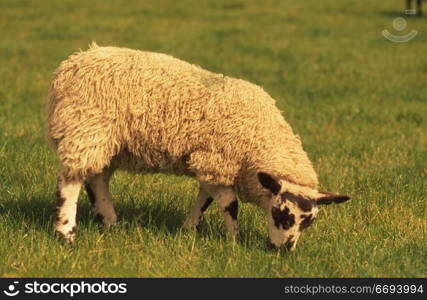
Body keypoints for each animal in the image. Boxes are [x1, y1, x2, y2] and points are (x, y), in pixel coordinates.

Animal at [46, 43, 352, 250]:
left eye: (308, 222)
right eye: (281, 214)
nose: (284, 250)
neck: (260, 140)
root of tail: (71, 64)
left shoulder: (213, 164)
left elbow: (205, 199)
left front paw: (189, 228)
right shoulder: (217, 159)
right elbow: (230, 204)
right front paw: (234, 239)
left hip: (107, 142)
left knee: (97, 180)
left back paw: (109, 221)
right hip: (85, 129)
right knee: (69, 182)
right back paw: (66, 233)